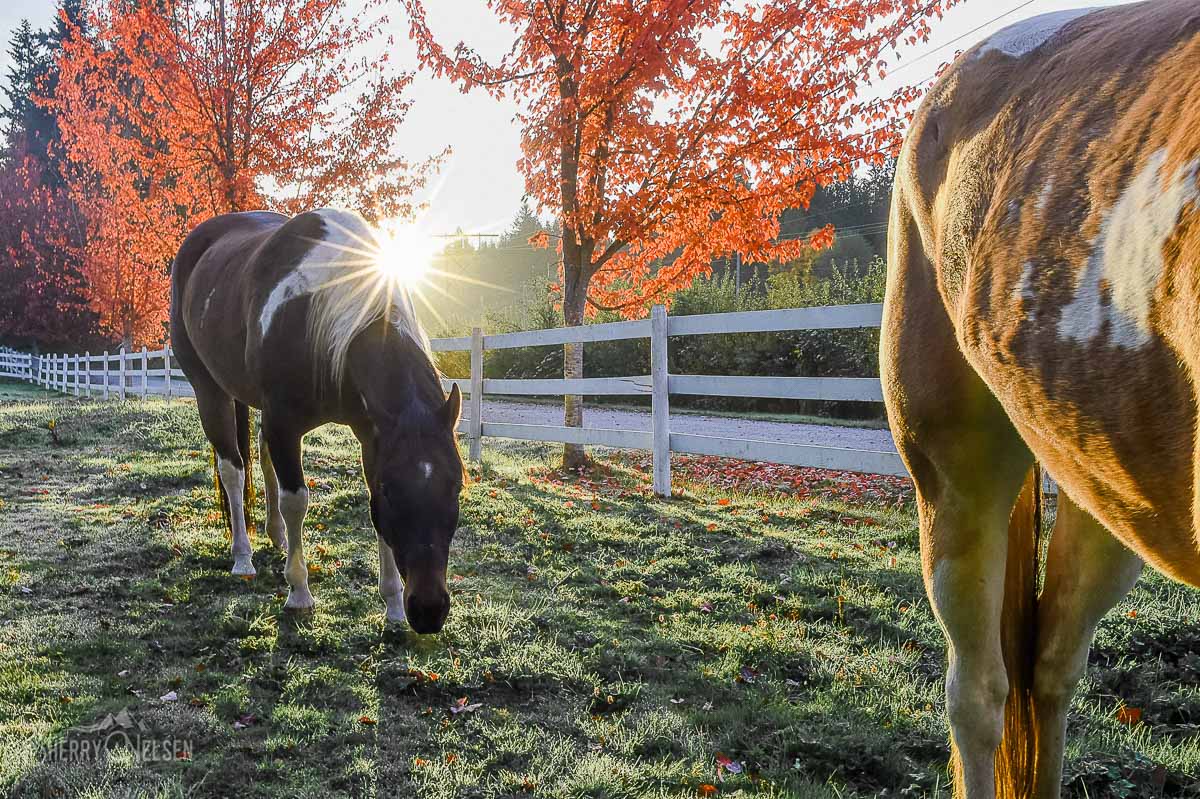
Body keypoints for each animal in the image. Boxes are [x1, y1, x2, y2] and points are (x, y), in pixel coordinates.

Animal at [169, 208, 464, 634]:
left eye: (456, 487)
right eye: (392, 489)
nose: (428, 611)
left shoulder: (371, 433)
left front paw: (392, 604)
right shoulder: (285, 424)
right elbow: (296, 500)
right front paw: (299, 593)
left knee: (261, 460)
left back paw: (276, 536)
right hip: (210, 391)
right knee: (233, 471)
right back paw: (242, 556)